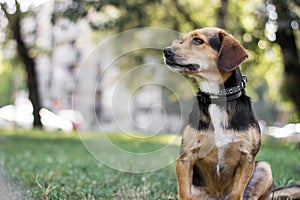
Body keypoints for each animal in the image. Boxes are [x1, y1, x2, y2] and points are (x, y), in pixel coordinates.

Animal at [163, 27, 274, 199]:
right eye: (181, 41)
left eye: (198, 40)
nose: (166, 51)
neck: (216, 97)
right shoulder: (185, 157)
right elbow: (184, 193)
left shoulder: (247, 159)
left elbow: (236, 193)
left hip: (264, 168)